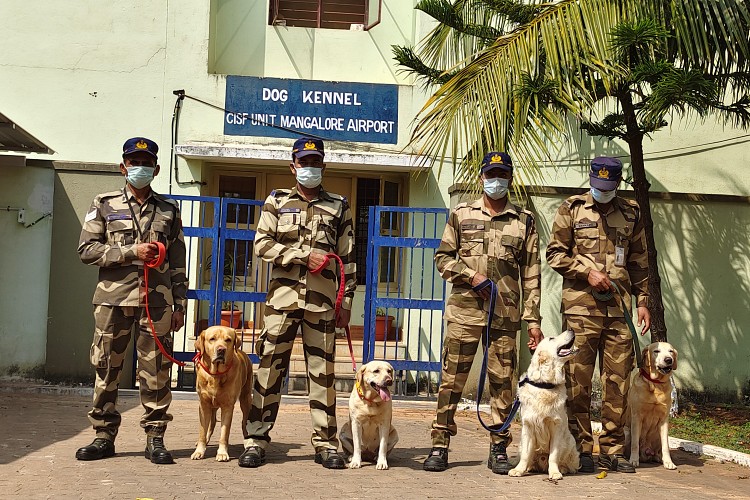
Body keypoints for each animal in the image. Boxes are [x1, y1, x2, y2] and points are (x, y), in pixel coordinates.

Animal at [512, 330, 580, 478]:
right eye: (552, 338)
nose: (572, 330)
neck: (545, 384)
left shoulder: (556, 426)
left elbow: (553, 456)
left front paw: (554, 472)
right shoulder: (528, 426)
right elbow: (525, 455)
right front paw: (518, 469)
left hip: (570, 443)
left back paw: (563, 468)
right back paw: (530, 467)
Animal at [628, 340, 680, 468]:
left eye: (671, 351)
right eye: (656, 351)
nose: (668, 359)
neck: (655, 384)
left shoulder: (664, 419)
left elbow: (665, 446)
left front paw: (668, 462)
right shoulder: (636, 416)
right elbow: (635, 443)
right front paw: (633, 460)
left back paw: (659, 458)